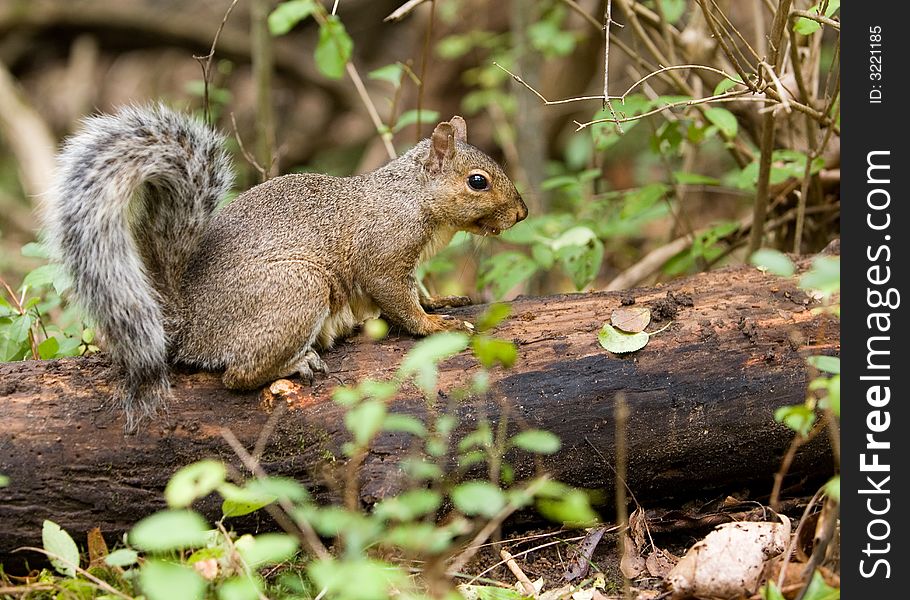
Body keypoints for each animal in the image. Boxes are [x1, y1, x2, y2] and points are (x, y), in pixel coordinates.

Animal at [44, 104, 528, 432]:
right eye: (477, 182)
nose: (522, 214)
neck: (412, 197)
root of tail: (189, 321)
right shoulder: (383, 257)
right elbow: (400, 303)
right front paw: (434, 326)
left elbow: (420, 291)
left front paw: (444, 300)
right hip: (299, 288)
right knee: (236, 376)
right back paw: (294, 365)